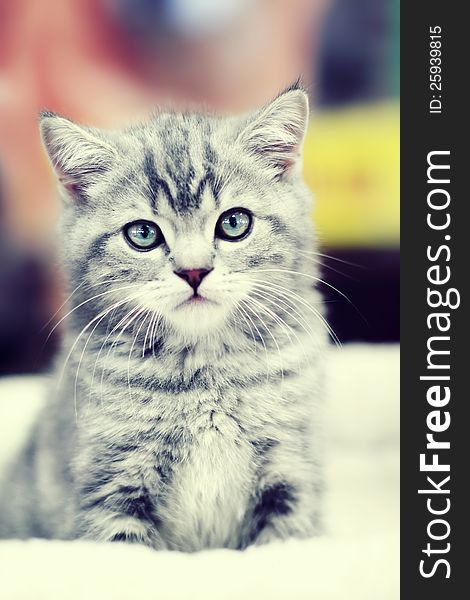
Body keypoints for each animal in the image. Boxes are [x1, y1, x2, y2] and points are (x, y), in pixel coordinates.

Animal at [0, 83, 326, 548]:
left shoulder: (292, 472)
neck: (205, 369)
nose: (194, 271)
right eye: (143, 234)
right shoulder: (110, 489)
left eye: (234, 223)